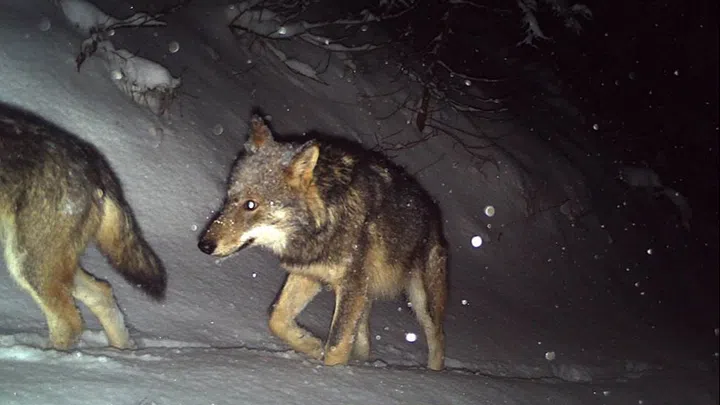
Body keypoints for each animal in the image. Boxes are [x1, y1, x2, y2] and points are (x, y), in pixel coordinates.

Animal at [0, 103, 166, 350]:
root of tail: (93, 163)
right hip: (48, 265)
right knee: (102, 294)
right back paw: (122, 352)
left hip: (27, 263)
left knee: (69, 322)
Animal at [198, 115, 448, 370]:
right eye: (228, 198)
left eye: (251, 205)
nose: (204, 245)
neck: (326, 219)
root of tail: (433, 208)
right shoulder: (309, 275)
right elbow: (276, 318)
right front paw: (312, 345)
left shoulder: (350, 286)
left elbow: (336, 346)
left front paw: (330, 375)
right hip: (366, 296)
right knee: (364, 338)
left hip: (421, 303)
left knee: (438, 339)